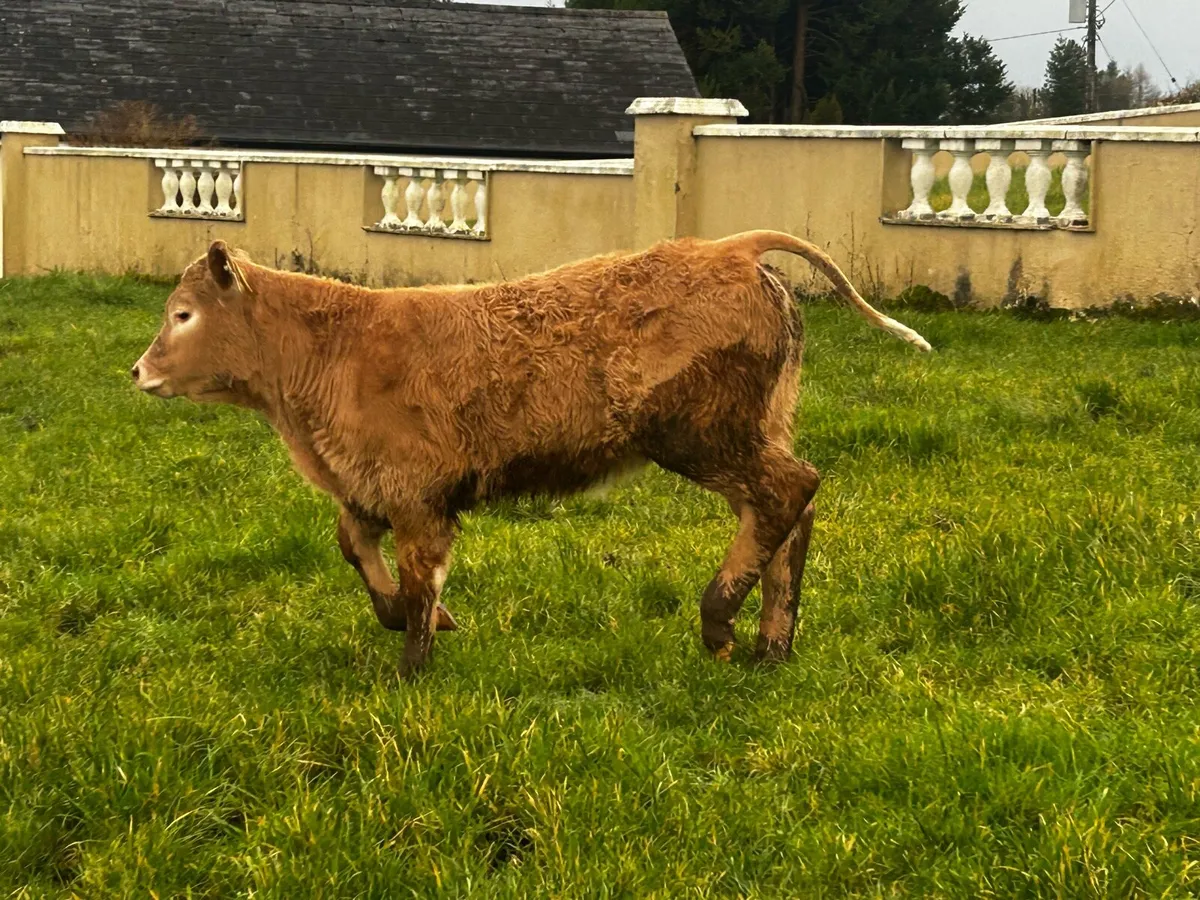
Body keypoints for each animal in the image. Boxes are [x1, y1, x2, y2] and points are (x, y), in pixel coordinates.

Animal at [131, 231, 929, 676]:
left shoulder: (418, 496)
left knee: (789, 489)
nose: (137, 371)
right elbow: (358, 552)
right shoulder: (367, 490)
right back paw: (771, 645)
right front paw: (423, 622)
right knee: (789, 515)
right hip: (752, 428)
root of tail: (728, 248)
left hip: (702, 434)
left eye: (183, 314)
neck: (335, 349)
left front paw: (410, 666)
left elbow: (419, 583)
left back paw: (718, 621)